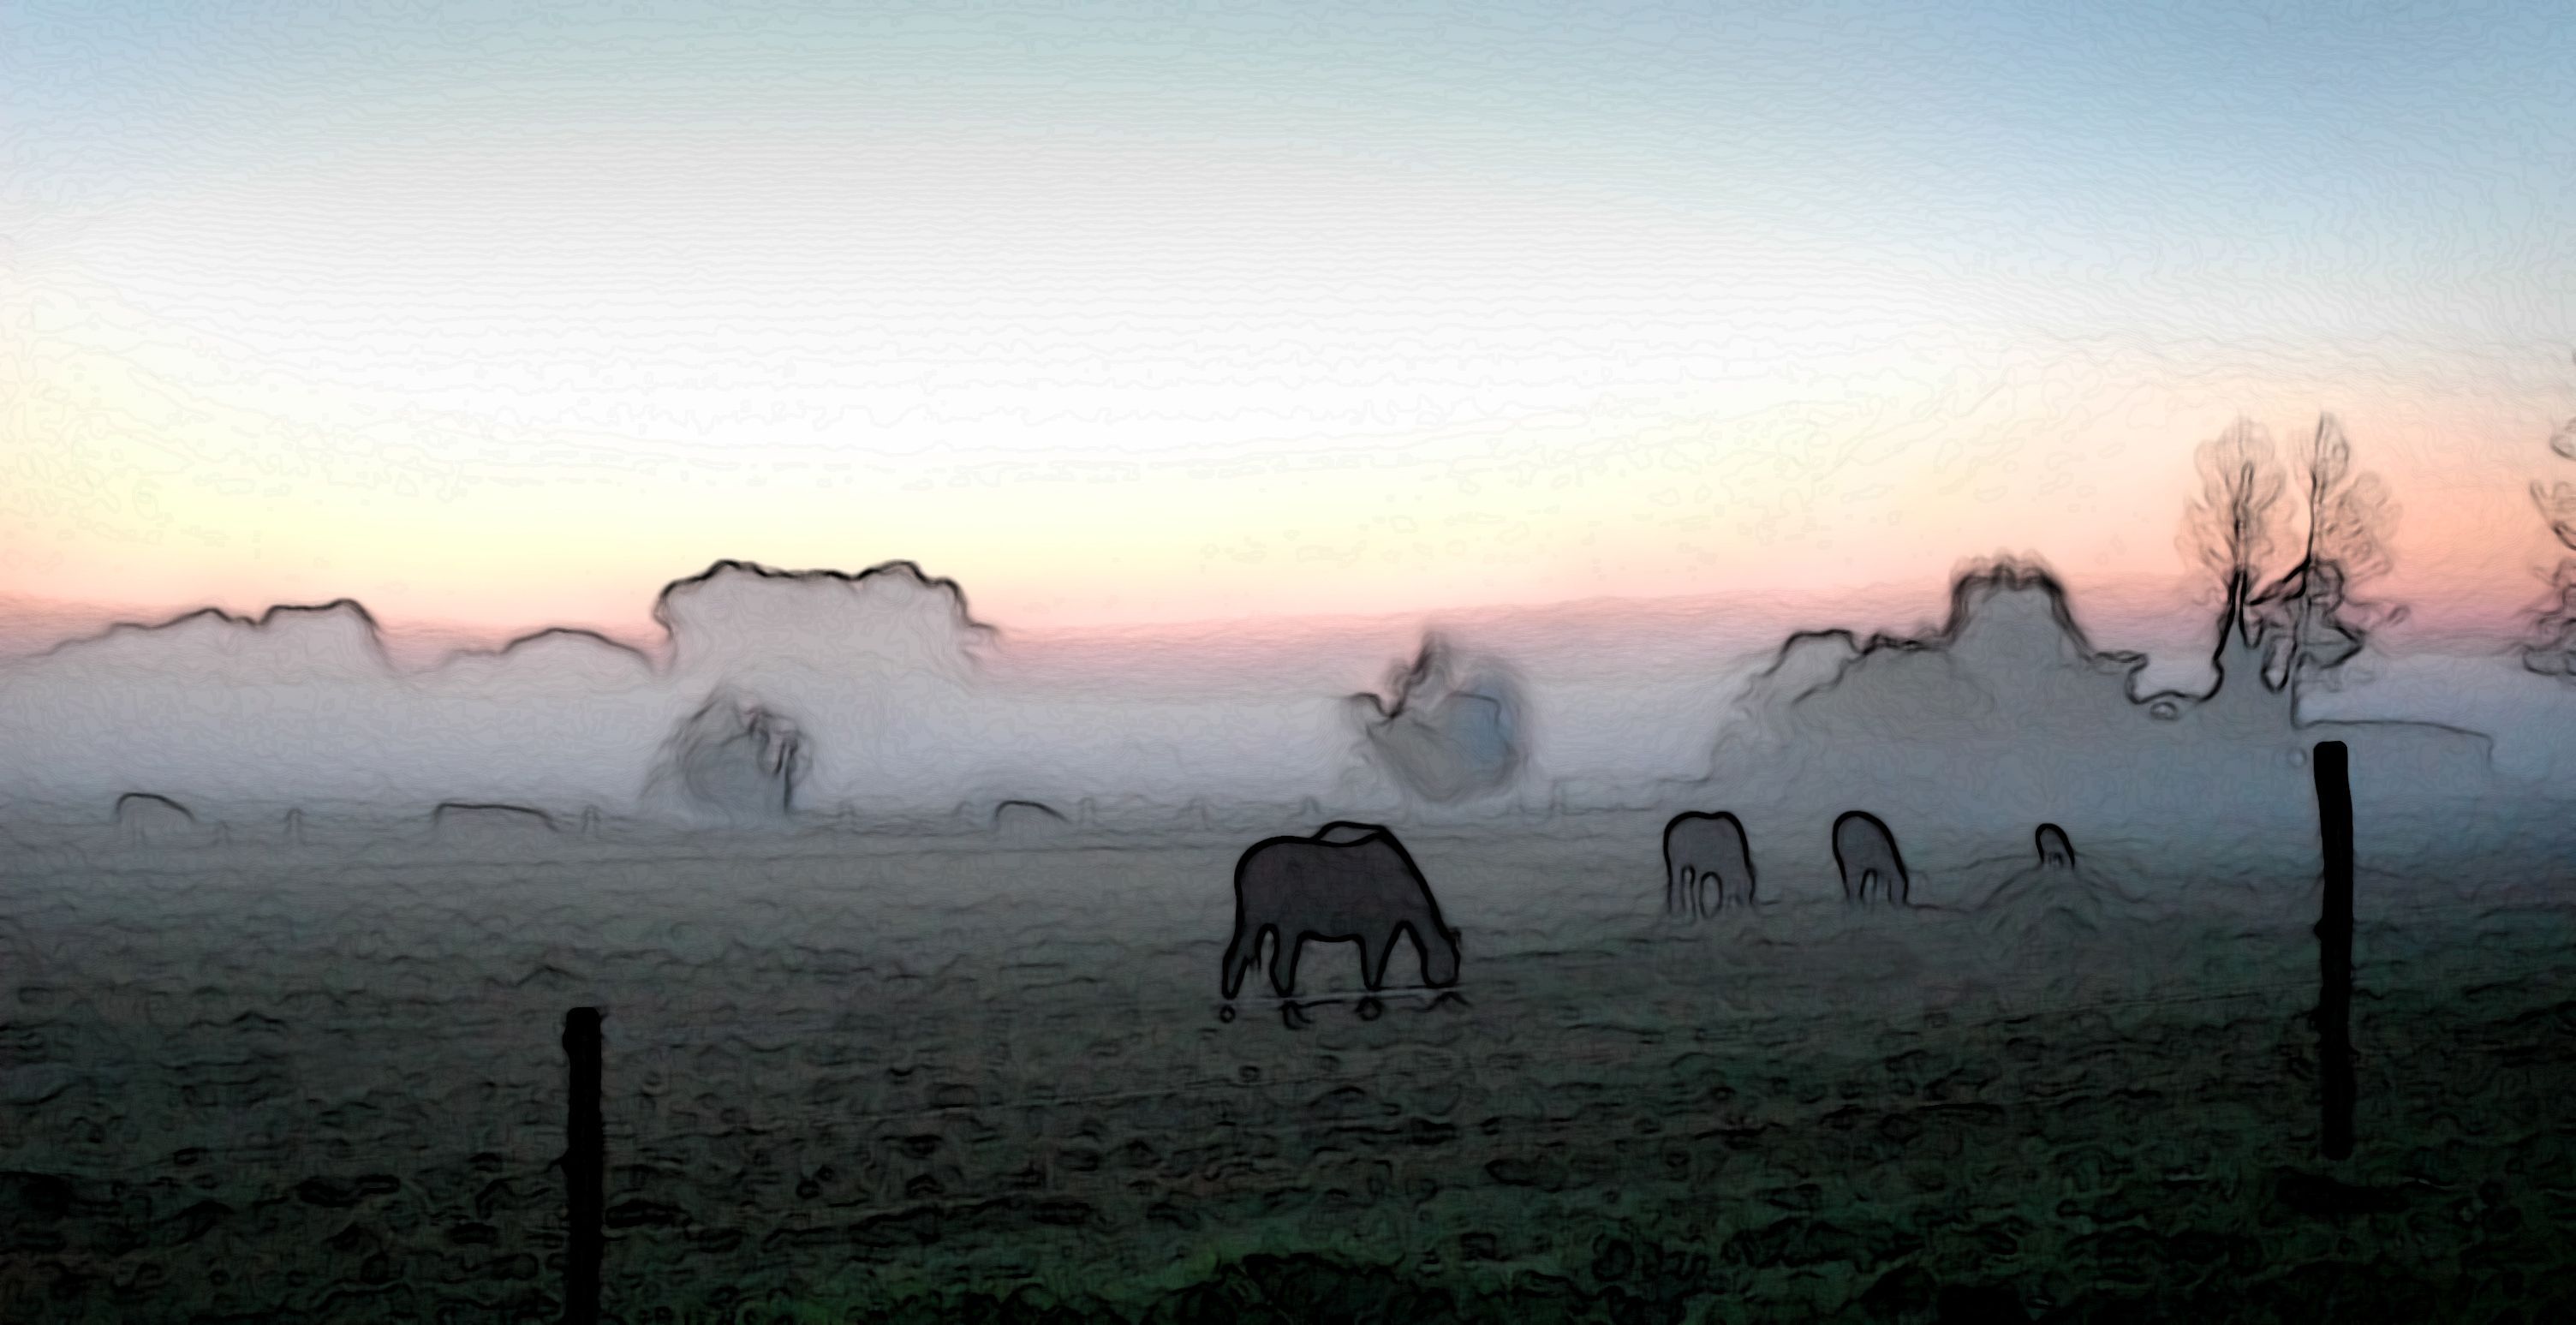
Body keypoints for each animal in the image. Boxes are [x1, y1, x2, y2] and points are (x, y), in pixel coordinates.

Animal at [1220, 820, 1463, 994]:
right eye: (1452, 958)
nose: (1449, 978)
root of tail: (1243, 870)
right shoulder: (1378, 923)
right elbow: (1375, 961)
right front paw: (1374, 987)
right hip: (1273, 908)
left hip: (1267, 915)